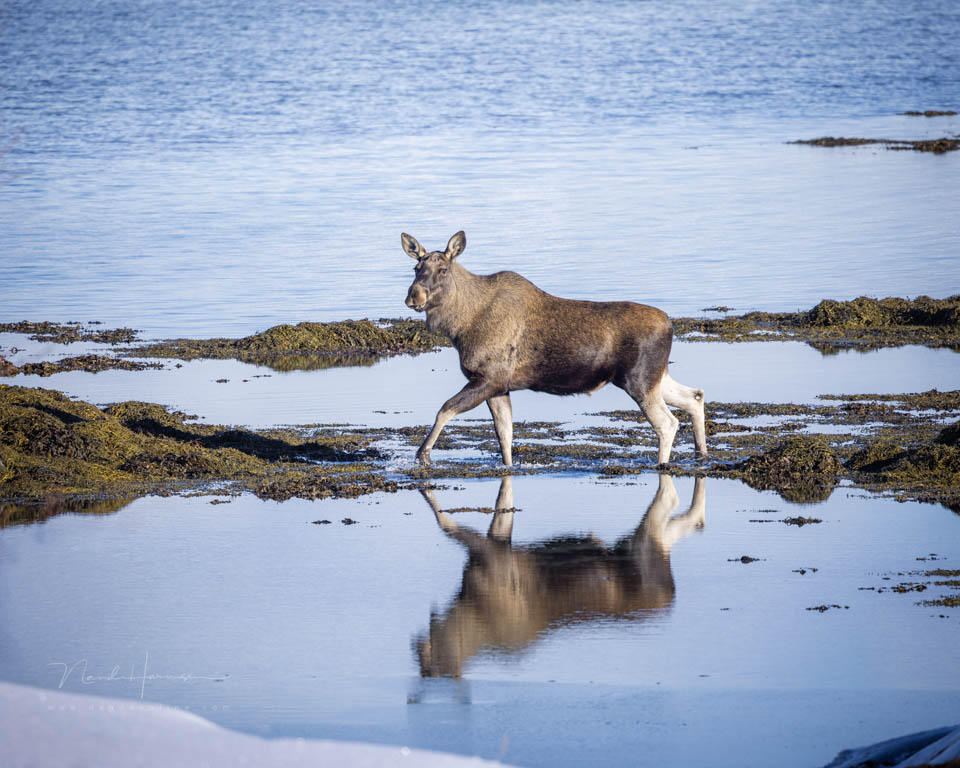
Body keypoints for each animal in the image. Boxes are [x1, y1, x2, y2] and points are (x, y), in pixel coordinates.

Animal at [402, 231, 708, 464]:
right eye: (416, 268)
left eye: (443, 269)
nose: (414, 297)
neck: (460, 326)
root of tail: (669, 326)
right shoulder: (499, 386)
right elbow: (505, 436)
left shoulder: (488, 379)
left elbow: (445, 410)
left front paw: (423, 454)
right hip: (654, 377)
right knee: (695, 396)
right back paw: (701, 454)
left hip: (639, 381)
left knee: (668, 423)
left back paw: (662, 465)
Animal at [416, 474, 708, 680]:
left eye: (439, 661)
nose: (417, 648)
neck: (466, 608)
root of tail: (670, 590)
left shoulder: (490, 555)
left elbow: (446, 524)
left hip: (643, 543)